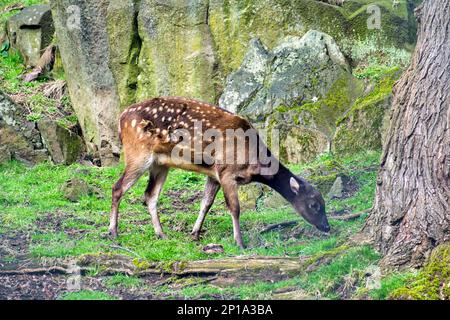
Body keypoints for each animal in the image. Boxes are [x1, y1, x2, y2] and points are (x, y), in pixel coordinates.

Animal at [110, 96, 328, 249]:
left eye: (323, 202)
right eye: (313, 204)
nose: (327, 227)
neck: (253, 160)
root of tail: (121, 118)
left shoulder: (213, 174)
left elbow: (205, 203)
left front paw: (195, 233)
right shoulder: (226, 171)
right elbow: (235, 208)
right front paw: (240, 243)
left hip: (161, 163)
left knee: (150, 195)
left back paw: (161, 234)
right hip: (138, 153)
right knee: (117, 187)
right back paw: (113, 232)